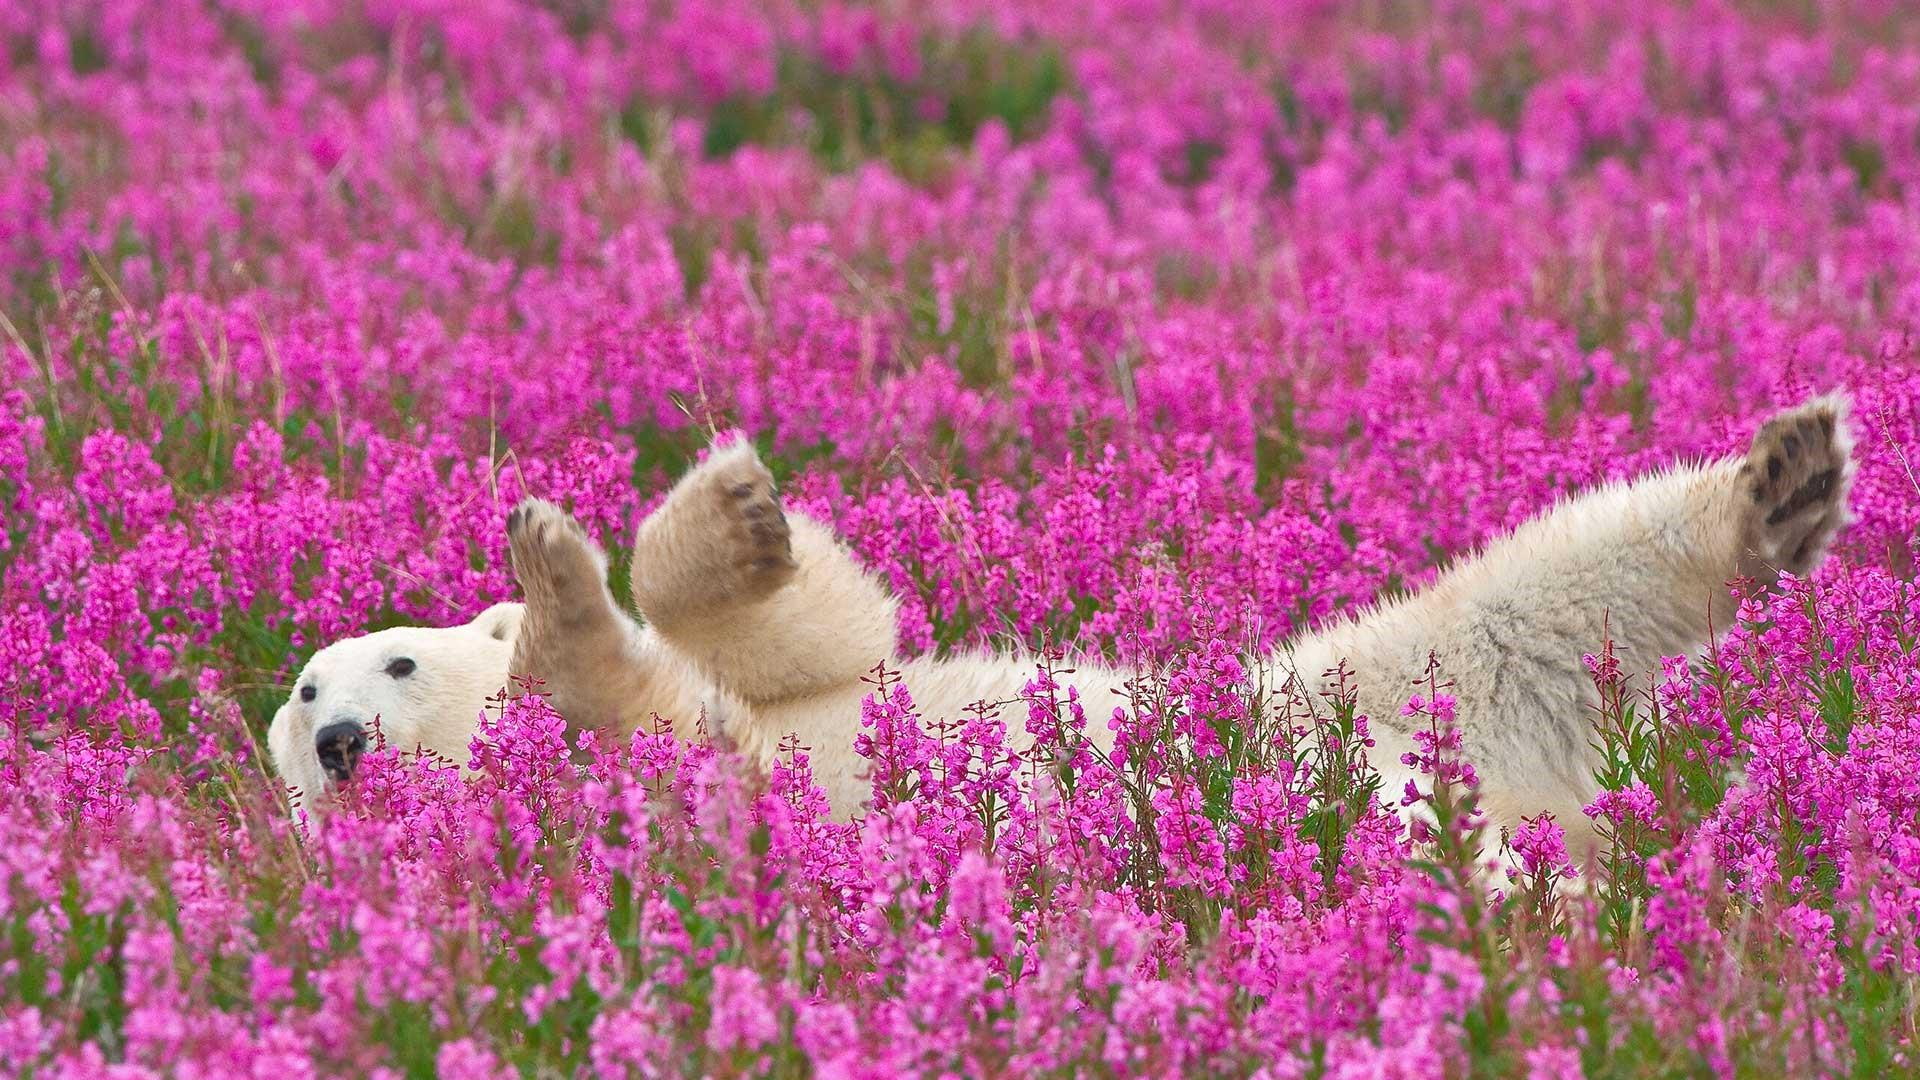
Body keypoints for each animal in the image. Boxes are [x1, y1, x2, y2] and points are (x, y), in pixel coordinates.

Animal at [268, 395, 1855, 866]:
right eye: (299, 697)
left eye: (386, 659)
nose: (339, 739)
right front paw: (558, 589)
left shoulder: (781, 698)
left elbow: (827, 636)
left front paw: (702, 517)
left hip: (1356, 686)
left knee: (1541, 588)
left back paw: (1783, 480)